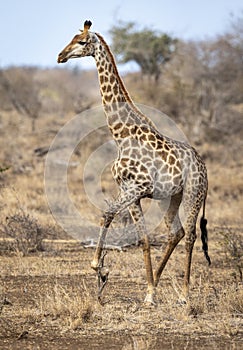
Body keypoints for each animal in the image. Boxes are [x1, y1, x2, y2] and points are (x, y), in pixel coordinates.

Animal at [57, 20, 211, 304]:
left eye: (82, 42)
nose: (60, 56)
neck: (121, 134)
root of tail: (204, 166)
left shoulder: (136, 189)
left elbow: (107, 213)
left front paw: (99, 267)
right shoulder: (131, 191)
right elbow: (143, 239)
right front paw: (148, 291)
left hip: (194, 193)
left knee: (191, 235)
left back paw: (185, 294)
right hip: (170, 197)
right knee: (176, 232)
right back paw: (158, 281)